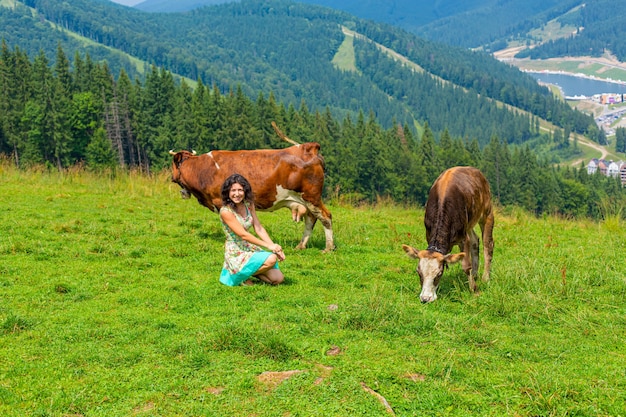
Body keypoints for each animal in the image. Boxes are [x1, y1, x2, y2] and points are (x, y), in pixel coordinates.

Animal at [168, 141, 334, 250]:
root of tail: (308, 147)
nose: (171, 176)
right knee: (311, 219)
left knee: (325, 217)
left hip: (311, 196)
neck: (202, 169)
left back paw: (328, 248)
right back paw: (301, 245)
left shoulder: (221, 201)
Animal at [402, 166, 494, 302]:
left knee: (488, 245)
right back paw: (475, 274)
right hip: (469, 223)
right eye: (419, 273)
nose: (425, 298)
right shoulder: (428, 233)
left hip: (487, 212)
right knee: (475, 240)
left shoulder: (463, 238)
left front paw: (474, 290)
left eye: (439, 274)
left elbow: (466, 265)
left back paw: (485, 278)